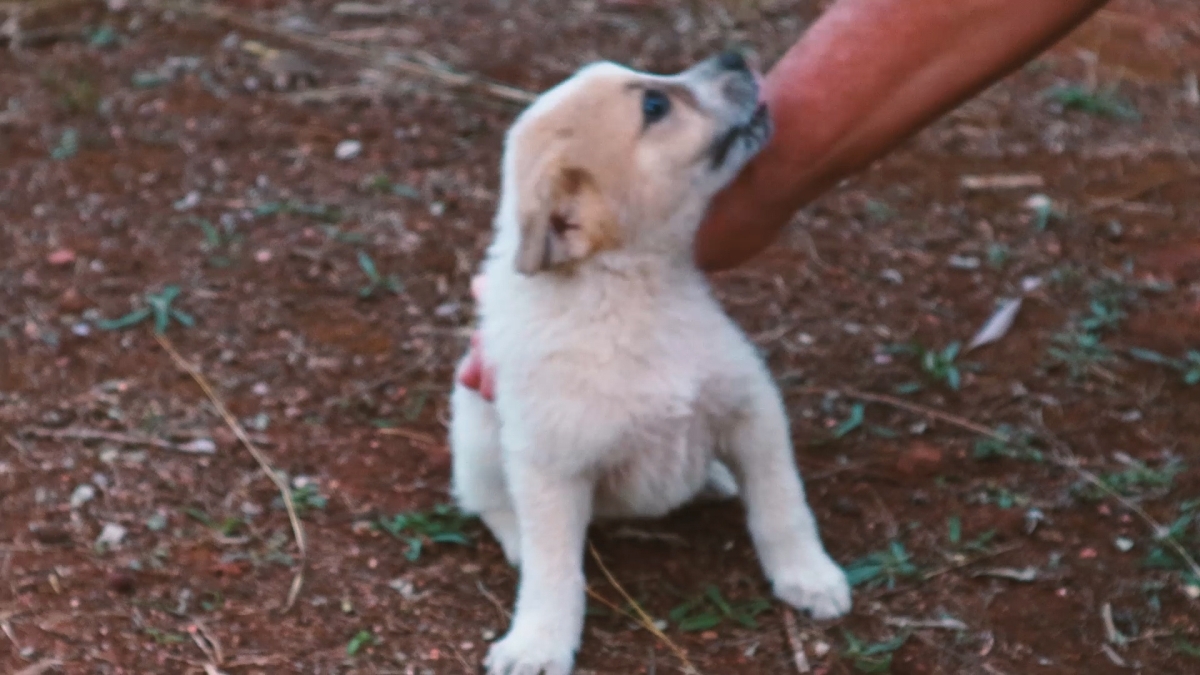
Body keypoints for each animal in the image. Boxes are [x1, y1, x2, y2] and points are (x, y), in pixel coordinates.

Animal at [451, 49, 854, 667]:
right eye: (655, 106)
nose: (735, 54)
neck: (633, 295)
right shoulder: (550, 469)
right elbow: (553, 571)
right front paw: (538, 643)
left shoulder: (753, 411)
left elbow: (783, 509)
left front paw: (808, 577)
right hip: (476, 433)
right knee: (487, 501)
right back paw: (514, 535)